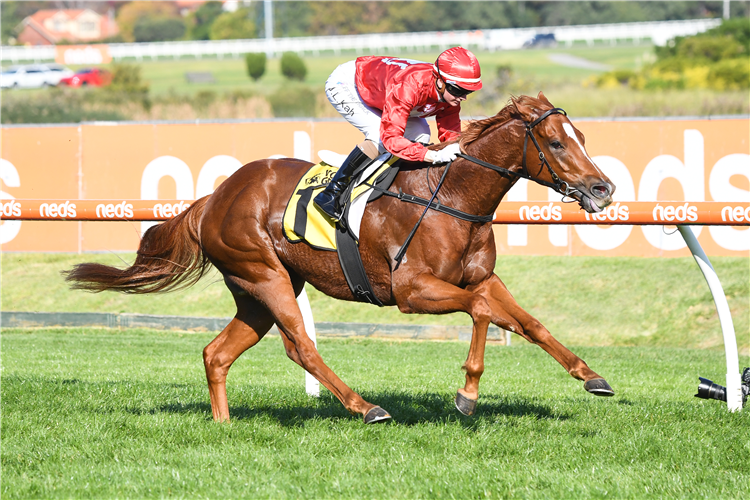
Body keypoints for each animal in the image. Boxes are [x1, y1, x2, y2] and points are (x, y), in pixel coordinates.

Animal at [64, 93, 616, 422]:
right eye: (554, 142)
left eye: (584, 138)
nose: (602, 188)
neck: (452, 197)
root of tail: (213, 198)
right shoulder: (413, 291)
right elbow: (483, 313)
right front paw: (467, 394)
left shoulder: (482, 278)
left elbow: (528, 322)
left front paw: (591, 375)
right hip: (264, 276)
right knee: (301, 347)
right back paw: (364, 406)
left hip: (256, 290)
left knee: (217, 352)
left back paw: (223, 423)